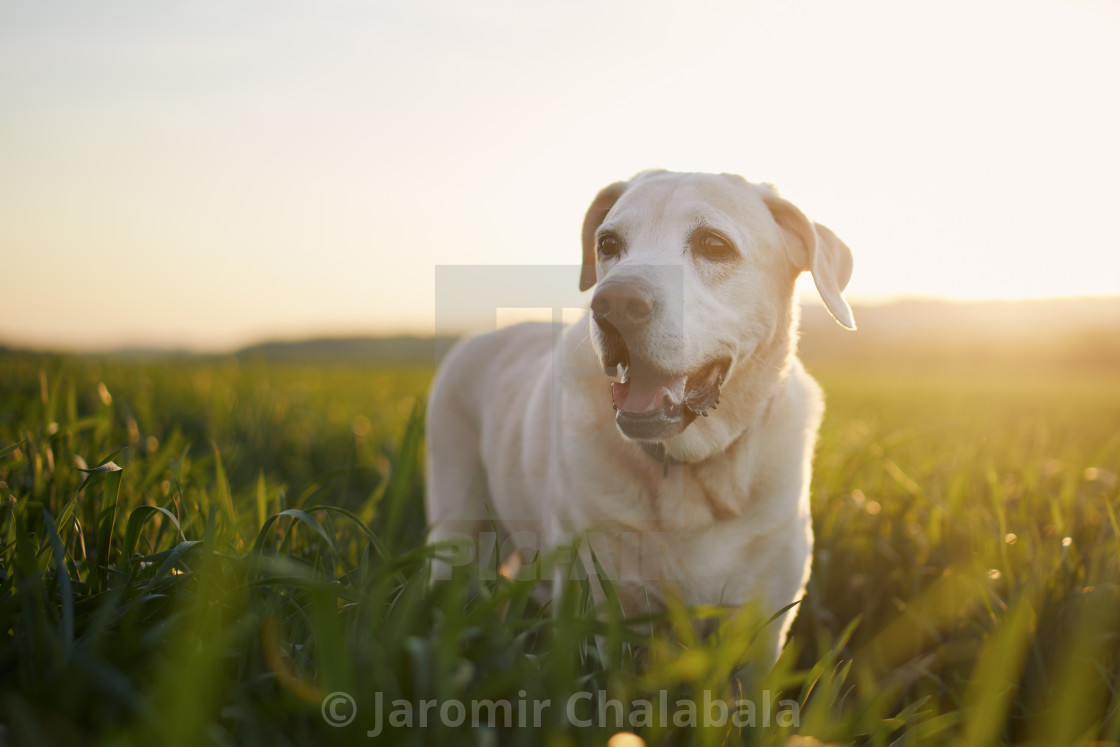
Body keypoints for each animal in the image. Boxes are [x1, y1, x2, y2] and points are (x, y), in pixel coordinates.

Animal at [423, 171, 851, 667]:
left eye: (714, 244)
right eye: (608, 243)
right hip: (457, 525)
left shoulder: (761, 624)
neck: (689, 473)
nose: (614, 304)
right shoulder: (604, 607)